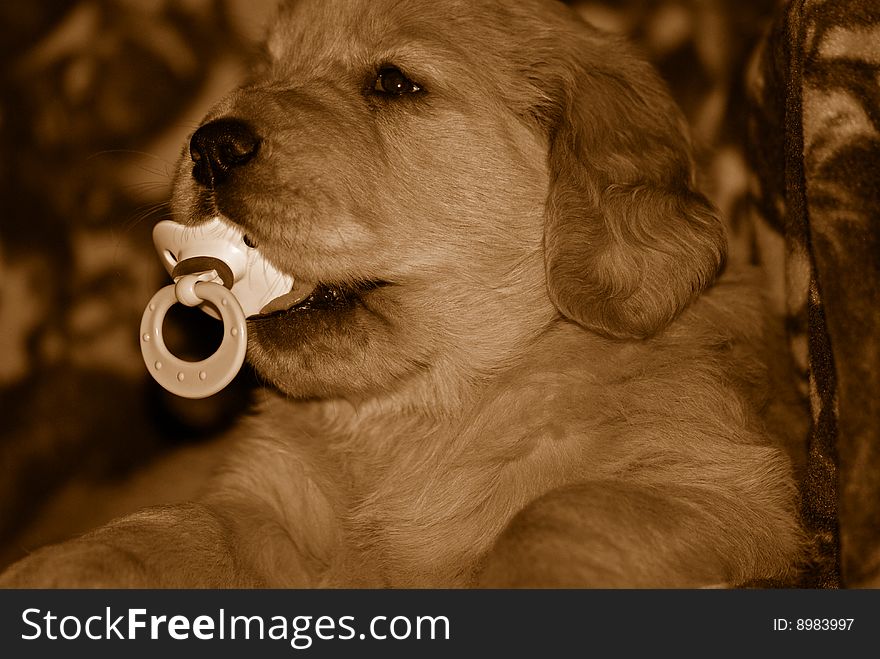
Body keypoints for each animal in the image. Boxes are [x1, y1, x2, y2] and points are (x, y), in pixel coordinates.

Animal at [0, 0, 800, 588]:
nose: (210, 145)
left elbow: (561, 512)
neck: (412, 418)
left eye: (395, 82)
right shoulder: (266, 498)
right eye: (265, 69)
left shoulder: (727, 489)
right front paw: (66, 567)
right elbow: (181, 525)